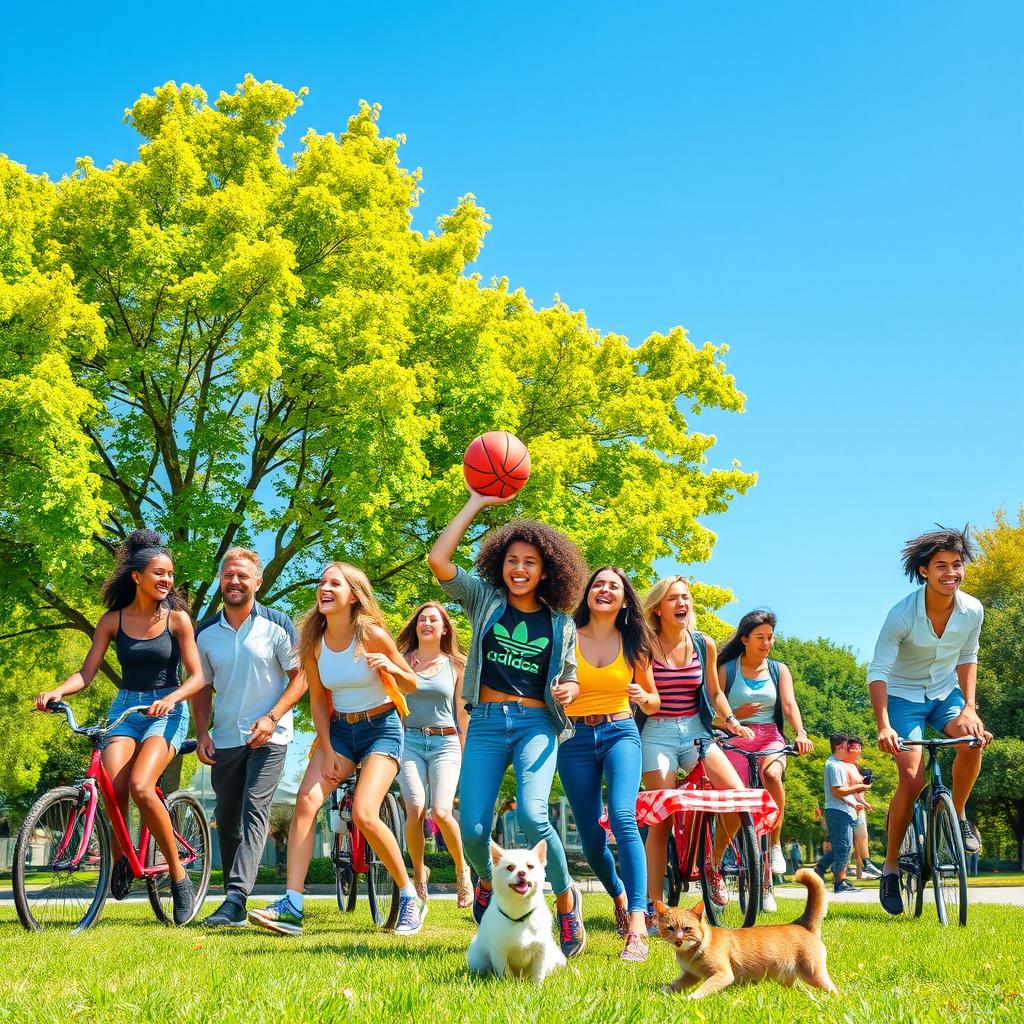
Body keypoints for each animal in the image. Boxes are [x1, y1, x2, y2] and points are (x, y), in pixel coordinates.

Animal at [466, 839, 569, 983]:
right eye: (510, 867)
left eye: (530, 866)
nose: (522, 873)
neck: (519, 914)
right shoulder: (499, 952)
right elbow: (505, 972)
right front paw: (508, 984)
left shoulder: (541, 950)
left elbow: (538, 972)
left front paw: (538, 986)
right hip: (478, 959)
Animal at [655, 864, 839, 999]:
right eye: (670, 928)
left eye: (687, 928)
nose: (678, 940)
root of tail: (802, 924)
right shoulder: (690, 976)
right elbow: (675, 985)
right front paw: (663, 993)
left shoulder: (722, 975)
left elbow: (703, 989)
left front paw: (689, 999)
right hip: (791, 978)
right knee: (805, 990)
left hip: (814, 973)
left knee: (834, 989)